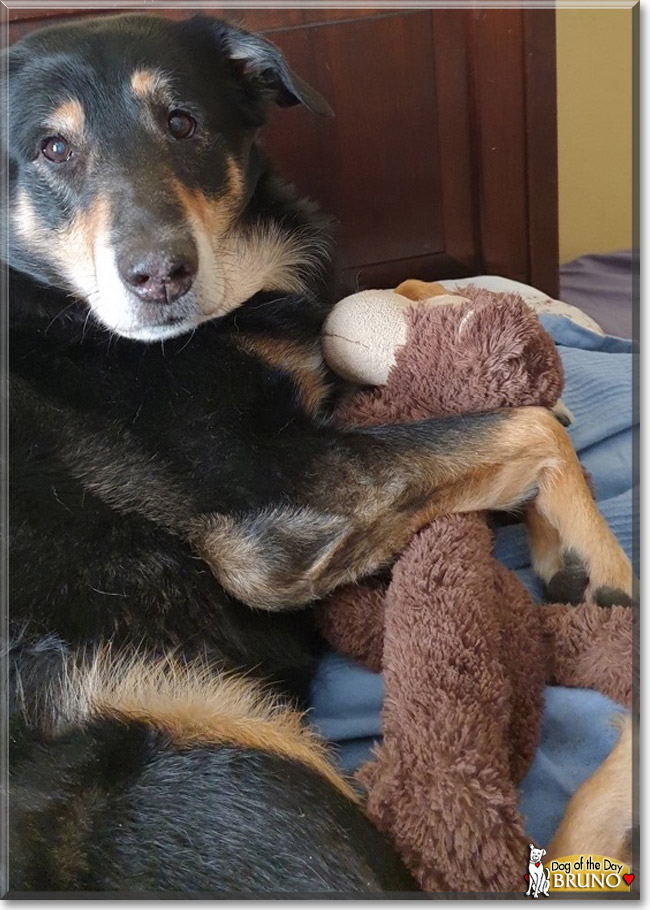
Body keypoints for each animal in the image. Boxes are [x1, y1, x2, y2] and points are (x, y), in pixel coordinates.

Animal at [3, 14, 632, 896]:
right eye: (52, 149)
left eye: (182, 123)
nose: (160, 275)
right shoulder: (277, 515)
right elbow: (530, 427)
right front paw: (597, 560)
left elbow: (393, 302)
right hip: (219, 749)